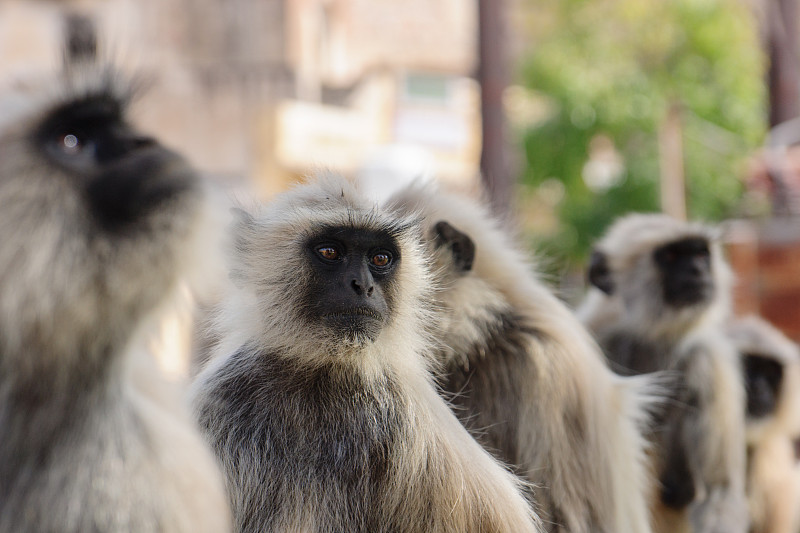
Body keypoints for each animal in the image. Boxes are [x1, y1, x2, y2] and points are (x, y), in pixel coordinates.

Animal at [190, 174, 540, 532]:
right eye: (330, 252)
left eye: (380, 259)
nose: (363, 286)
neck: (321, 374)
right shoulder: (219, 398)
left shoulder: (405, 409)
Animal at [580, 212, 748, 532]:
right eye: (670, 256)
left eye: (700, 254)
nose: (697, 270)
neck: (649, 339)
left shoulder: (708, 360)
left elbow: (721, 491)